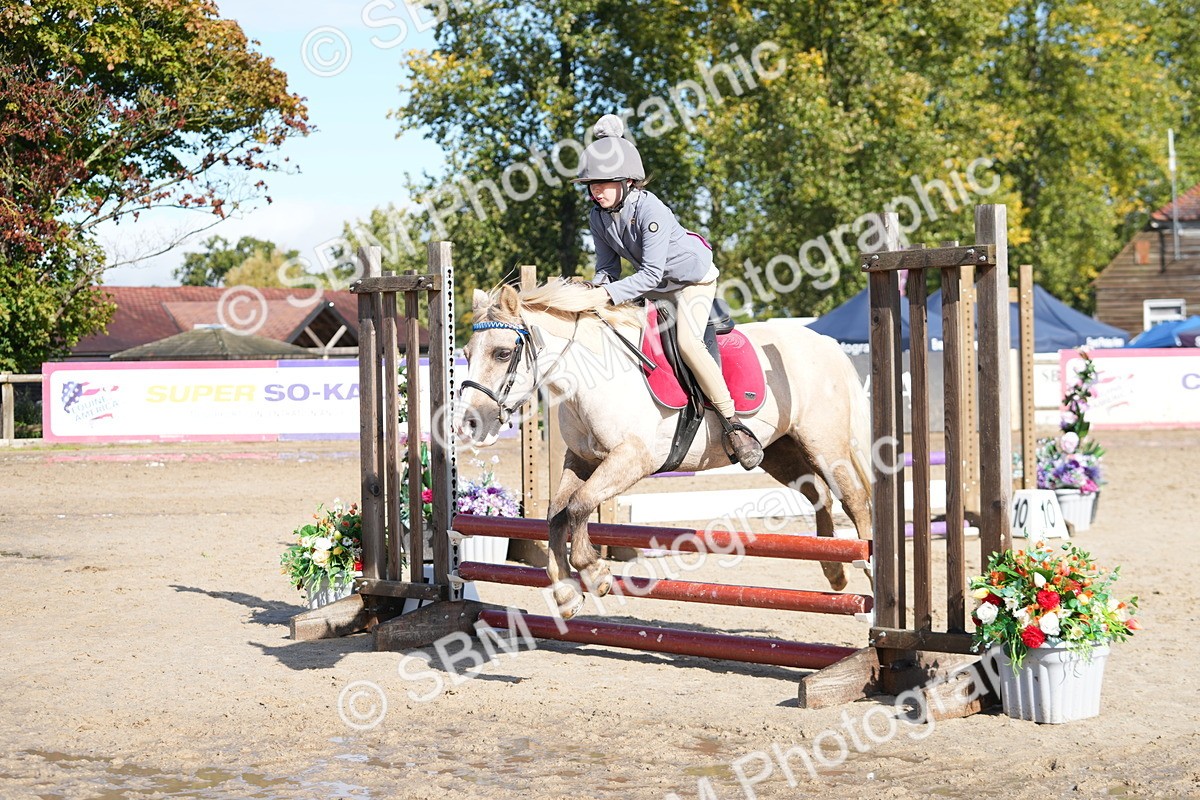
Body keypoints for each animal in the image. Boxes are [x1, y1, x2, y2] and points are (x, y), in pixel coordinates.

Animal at [456, 280, 874, 619]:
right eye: (466, 352)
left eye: (502, 354)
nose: (471, 423)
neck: (590, 378)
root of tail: (825, 343)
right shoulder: (582, 460)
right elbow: (557, 514)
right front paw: (566, 593)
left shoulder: (633, 458)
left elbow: (579, 505)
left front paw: (595, 572)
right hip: (779, 452)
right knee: (818, 494)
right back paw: (833, 571)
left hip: (824, 444)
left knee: (853, 499)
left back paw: (869, 568)